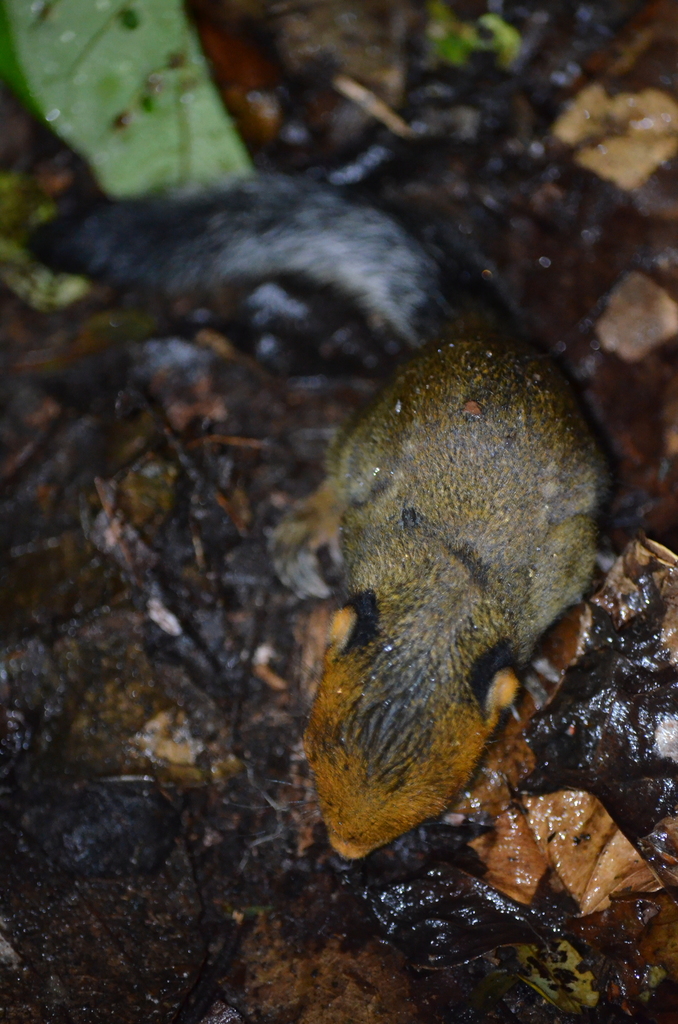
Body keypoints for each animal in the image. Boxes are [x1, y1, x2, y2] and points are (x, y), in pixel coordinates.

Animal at [32, 173, 608, 858]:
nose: (344, 852)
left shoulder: (559, 574)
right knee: (341, 476)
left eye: (438, 794)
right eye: (317, 752)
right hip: (370, 431)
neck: (452, 583)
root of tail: (484, 338)